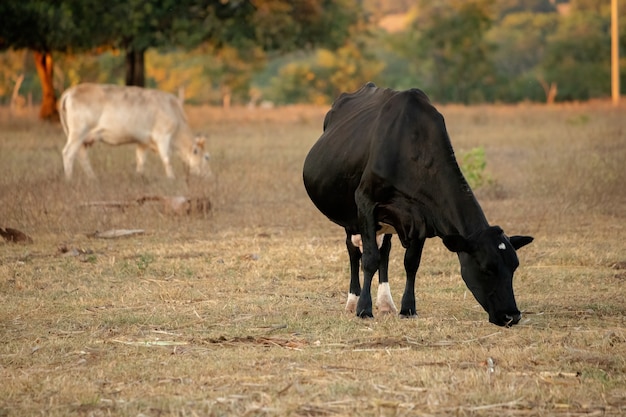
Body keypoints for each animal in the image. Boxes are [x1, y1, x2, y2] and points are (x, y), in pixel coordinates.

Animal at [59, 83, 210, 179]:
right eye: (207, 157)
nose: (209, 176)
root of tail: (72, 90)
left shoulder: (143, 141)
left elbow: (140, 160)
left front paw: (139, 177)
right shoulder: (162, 136)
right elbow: (167, 159)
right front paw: (171, 178)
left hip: (82, 138)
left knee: (82, 156)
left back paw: (93, 179)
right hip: (78, 133)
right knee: (68, 153)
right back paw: (69, 179)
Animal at [302, 83, 532, 324]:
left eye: (514, 267)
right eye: (487, 269)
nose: (512, 315)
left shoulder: (421, 215)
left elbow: (411, 262)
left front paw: (408, 308)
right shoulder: (365, 201)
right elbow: (370, 259)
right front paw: (364, 309)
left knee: (385, 251)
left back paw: (386, 302)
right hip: (350, 214)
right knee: (354, 250)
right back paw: (353, 301)